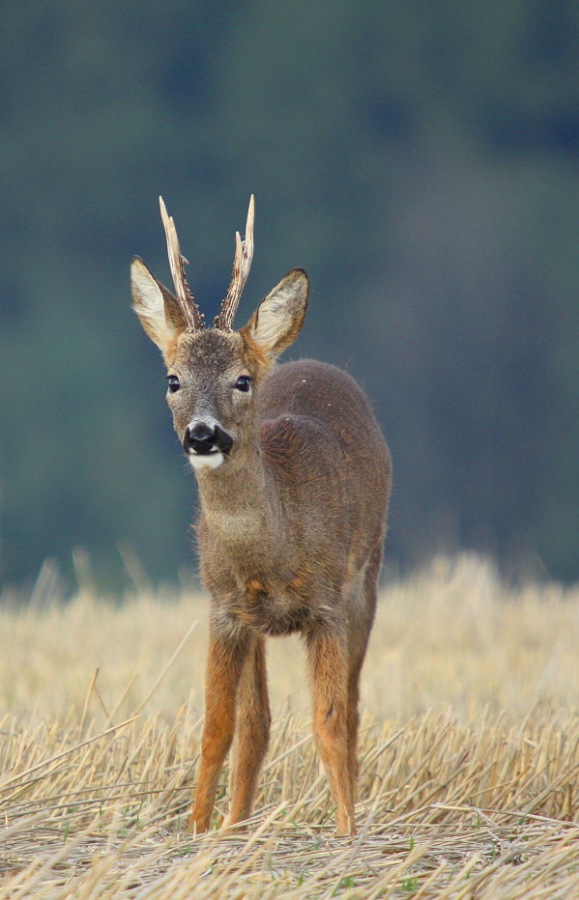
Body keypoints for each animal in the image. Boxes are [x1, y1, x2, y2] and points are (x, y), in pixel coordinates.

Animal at [130, 195, 391, 836]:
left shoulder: (326, 606)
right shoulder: (225, 609)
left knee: (351, 709)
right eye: (173, 379)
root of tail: (312, 360)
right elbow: (218, 728)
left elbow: (329, 723)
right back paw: (235, 825)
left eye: (241, 380)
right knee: (257, 724)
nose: (202, 434)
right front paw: (198, 831)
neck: (272, 553)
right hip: (257, 627)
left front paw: (346, 835)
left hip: (367, 577)